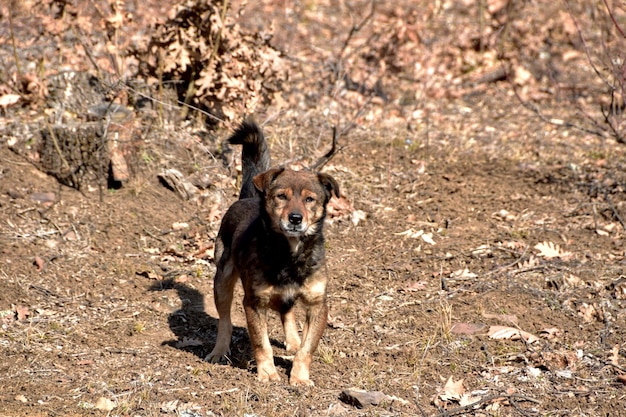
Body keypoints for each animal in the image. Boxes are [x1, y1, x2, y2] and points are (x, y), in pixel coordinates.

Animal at [207, 118, 338, 386]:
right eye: (281, 196)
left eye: (310, 199)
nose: (295, 219)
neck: (290, 254)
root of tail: (246, 197)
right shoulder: (254, 303)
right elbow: (261, 342)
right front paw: (267, 373)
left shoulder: (318, 304)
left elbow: (307, 347)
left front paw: (299, 377)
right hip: (222, 280)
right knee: (224, 320)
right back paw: (219, 351)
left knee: (287, 312)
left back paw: (293, 340)